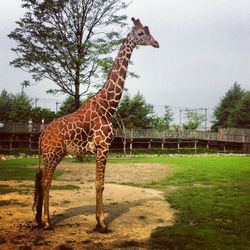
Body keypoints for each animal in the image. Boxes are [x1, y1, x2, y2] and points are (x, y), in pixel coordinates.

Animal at [33, 17, 159, 232]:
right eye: (141, 33)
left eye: (149, 31)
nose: (156, 43)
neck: (107, 106)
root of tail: (42, 134)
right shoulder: (103, 147)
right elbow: (100, 184)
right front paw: (102, 223)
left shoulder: (99, 149)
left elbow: (98, 183)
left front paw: (98, 220)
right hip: (52, 154)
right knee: (46, 182)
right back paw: (47, 222)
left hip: (54, 155)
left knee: (43, 181)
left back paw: (40, 220)